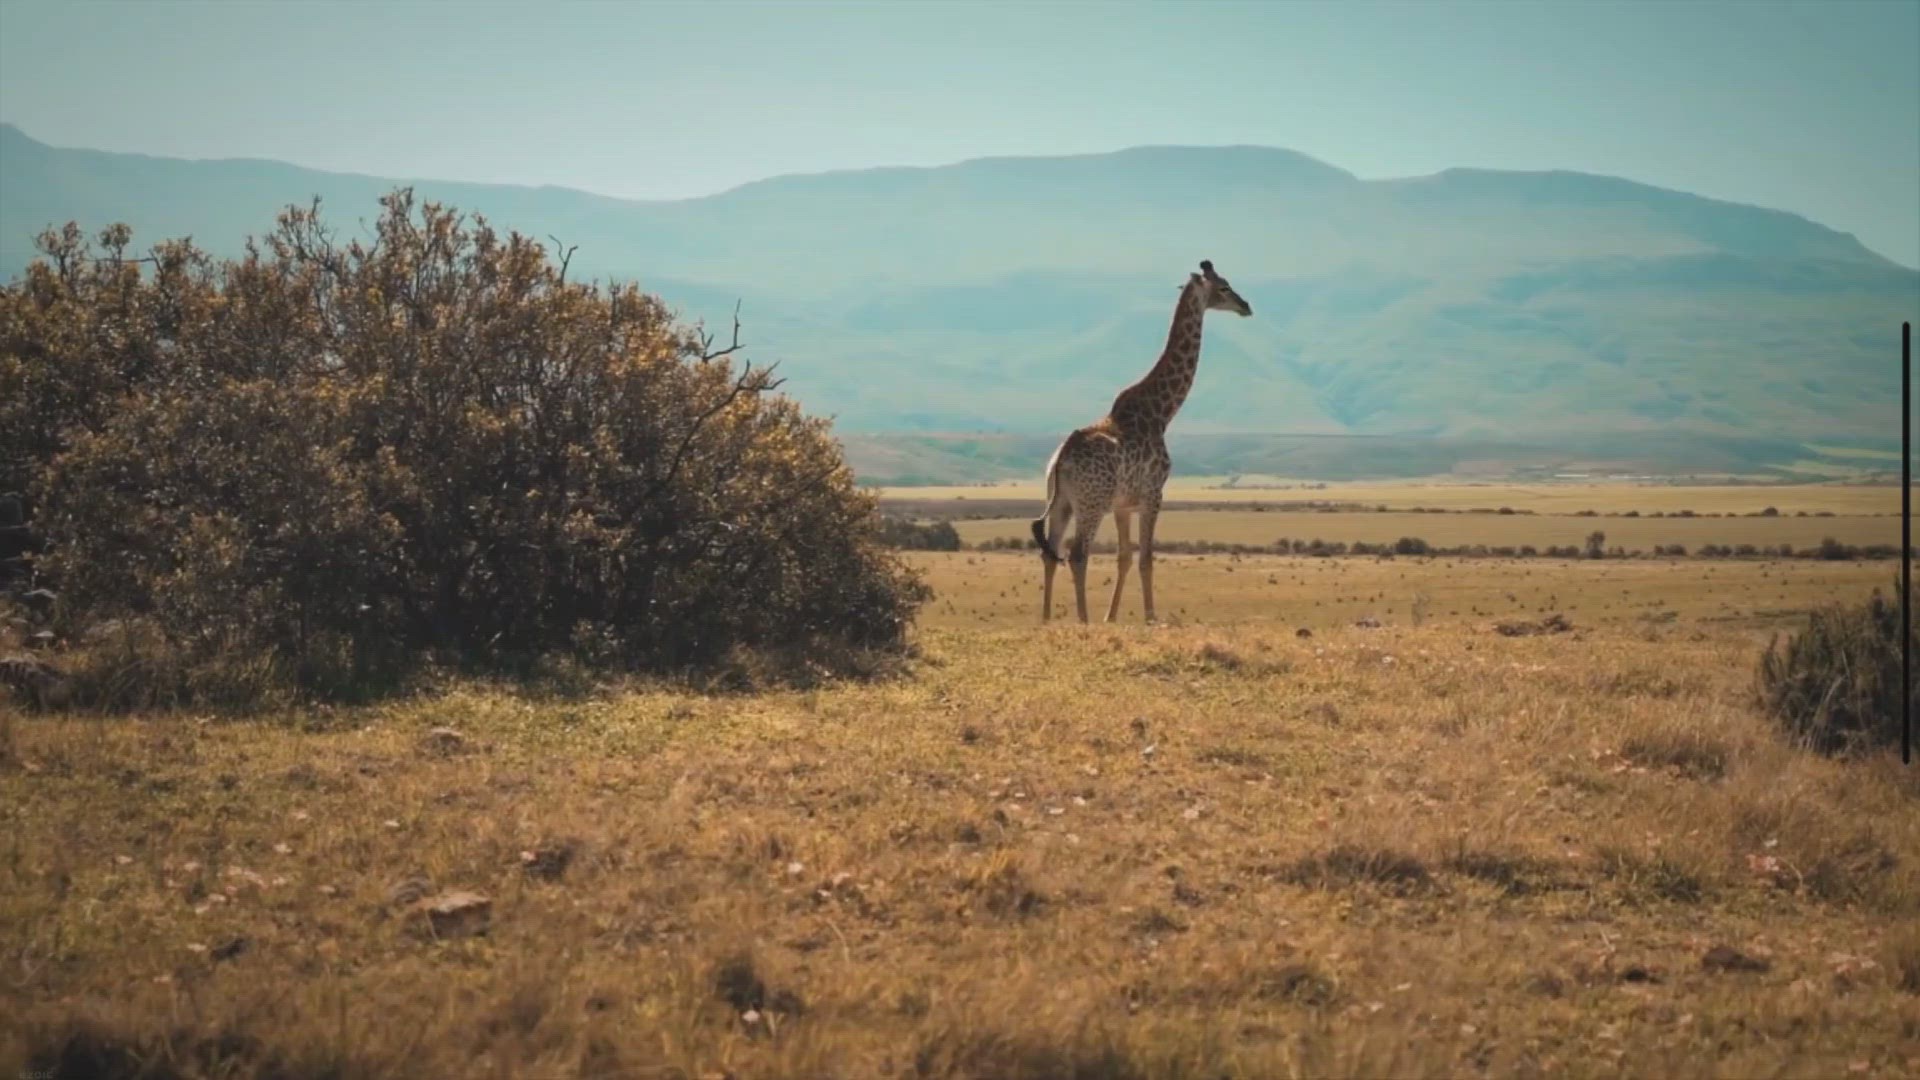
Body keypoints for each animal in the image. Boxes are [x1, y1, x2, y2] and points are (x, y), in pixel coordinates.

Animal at [1031, 260, 1253, 624]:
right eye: (1223, 287)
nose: (1246, 306)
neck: (1162, 412)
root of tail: (1061, 459)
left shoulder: (1124, 504)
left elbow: (1124, 557)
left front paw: (1111, 617)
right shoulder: (1153, 493)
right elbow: (1147, 558)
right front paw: (1150, 618)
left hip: (1062, 502)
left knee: (1051, 552)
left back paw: (1047, 619)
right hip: (1092, 504)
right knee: (1077, 554)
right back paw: (1083, 619)